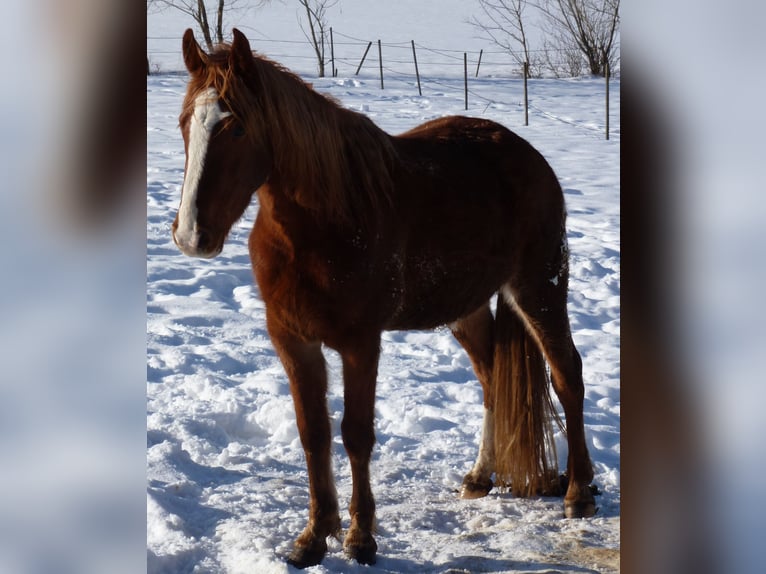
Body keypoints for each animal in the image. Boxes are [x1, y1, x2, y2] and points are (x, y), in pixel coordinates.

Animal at [172, 28, 596, 569]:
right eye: (185, 123)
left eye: (237, 129)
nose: (191, 236)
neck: (322, 225)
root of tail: (530, 157)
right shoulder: (293, 341)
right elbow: (313, 433)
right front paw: (313, 536)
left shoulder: (360, 343)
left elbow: (356, 434)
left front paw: (359, 537)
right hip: (468, 309)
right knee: (491, 379)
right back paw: (480, 477)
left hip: (539, 289)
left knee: (567, 375)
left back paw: (579, 493)